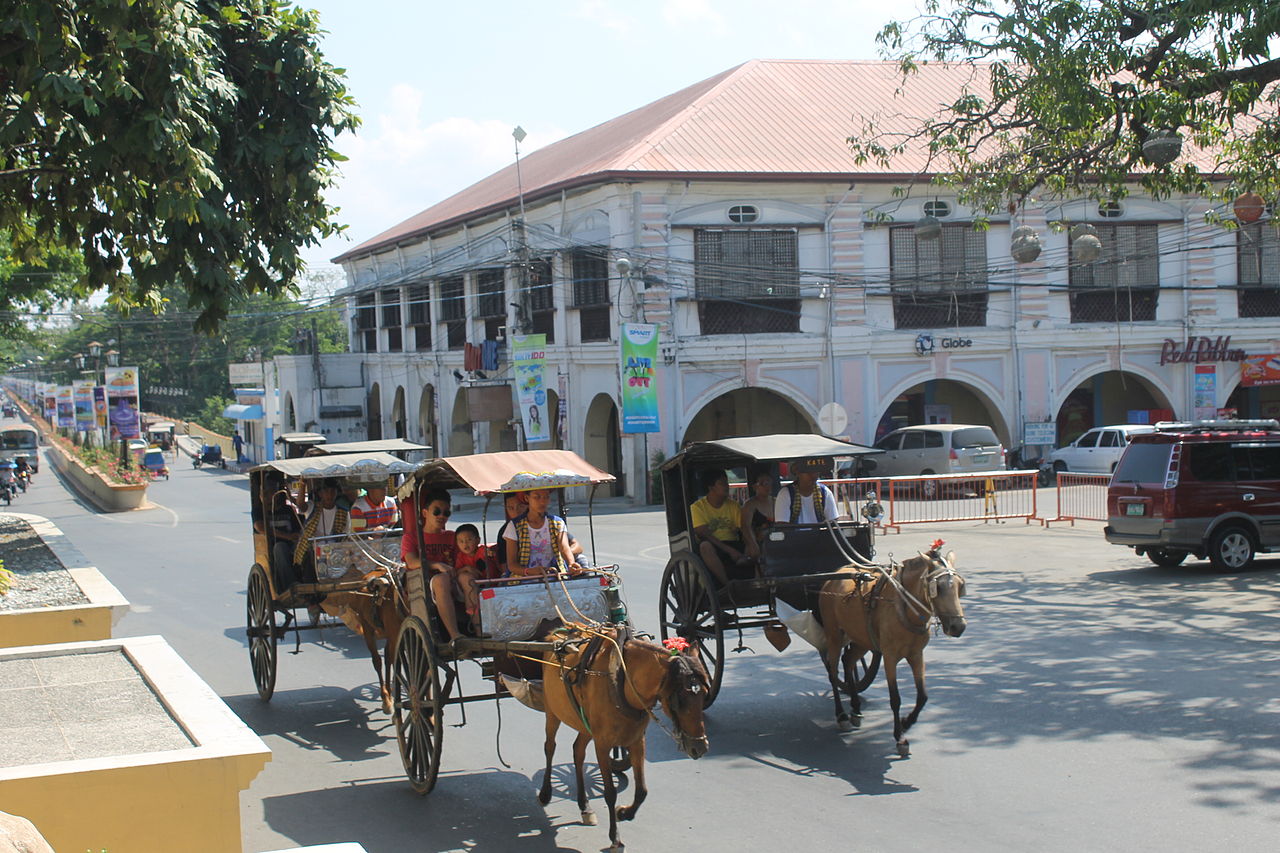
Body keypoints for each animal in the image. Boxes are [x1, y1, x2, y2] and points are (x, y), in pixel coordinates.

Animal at [540, 622, 711, 845]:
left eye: (705, 694)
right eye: (678, 699)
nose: (699, 747)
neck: (620, 677)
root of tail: (554, 634)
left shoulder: (637, 740)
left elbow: (642, 790)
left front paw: (624, 813)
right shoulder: (603, 744)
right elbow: (610, 792)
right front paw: (615, 836)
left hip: (585, 723)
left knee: (578, 751)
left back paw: (585, 807)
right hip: (552, 710)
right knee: (550, 747)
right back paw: (545, 793)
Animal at [824, 545, 962, 753]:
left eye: (960, 586)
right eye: (937, 587)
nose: (958, 626)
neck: (905, 607)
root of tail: (833, 576)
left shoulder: (916, 655)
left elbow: (923, 696)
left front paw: (906, 722)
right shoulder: (890, 656)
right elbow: (895, 698)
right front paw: (900, 737)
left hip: (862, 639)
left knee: (848, 661)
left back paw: (855, 709)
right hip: (834, 636)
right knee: (832, 672)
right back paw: (841, 715)